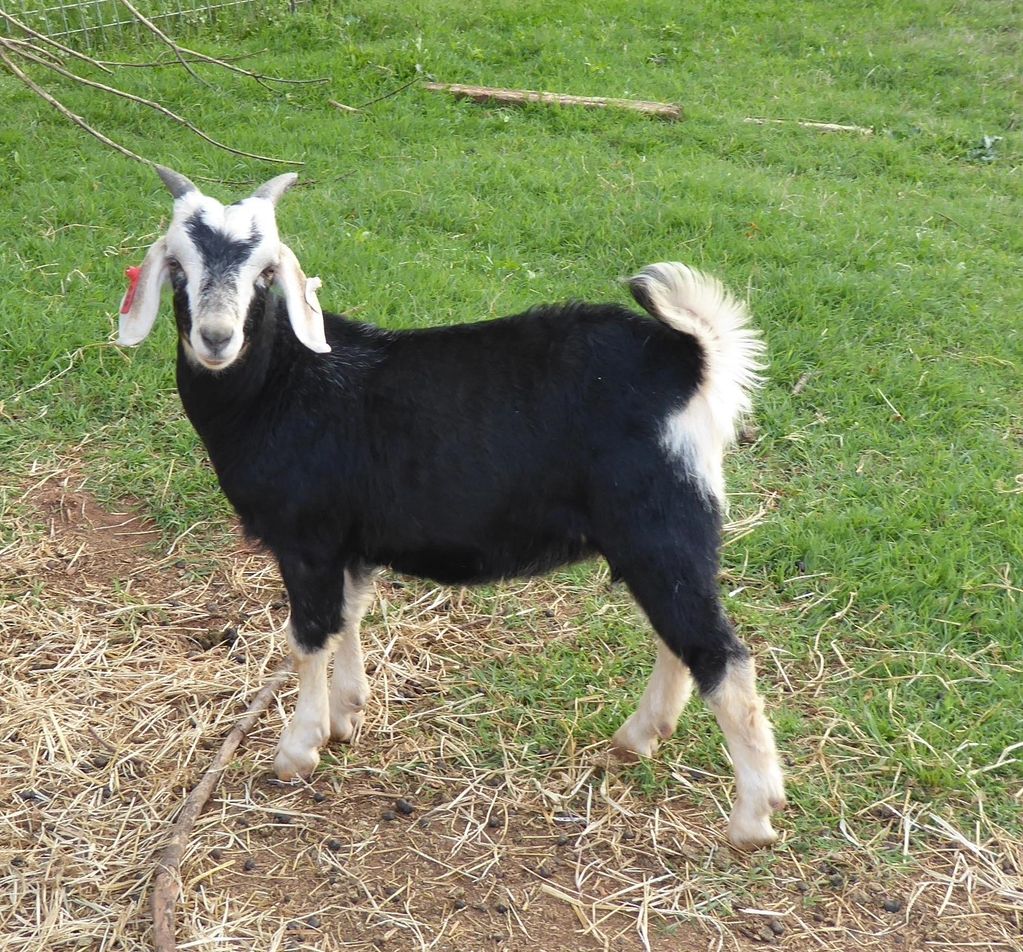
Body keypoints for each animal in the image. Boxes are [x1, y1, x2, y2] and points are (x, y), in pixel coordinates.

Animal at [117, 166, 786, 848]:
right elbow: (348, 617)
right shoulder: (349, 541)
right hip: (652, 538)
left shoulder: (307, 539)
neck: (281, 384)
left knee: (718, 654)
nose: (216, 338)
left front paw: (298, 750)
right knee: (679, 638)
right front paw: (346, 714)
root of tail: (689, 361)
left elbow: (308, 636)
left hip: (661, 523)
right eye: (178, 267)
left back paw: (754, 816)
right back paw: (638, 739)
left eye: (264, 273)